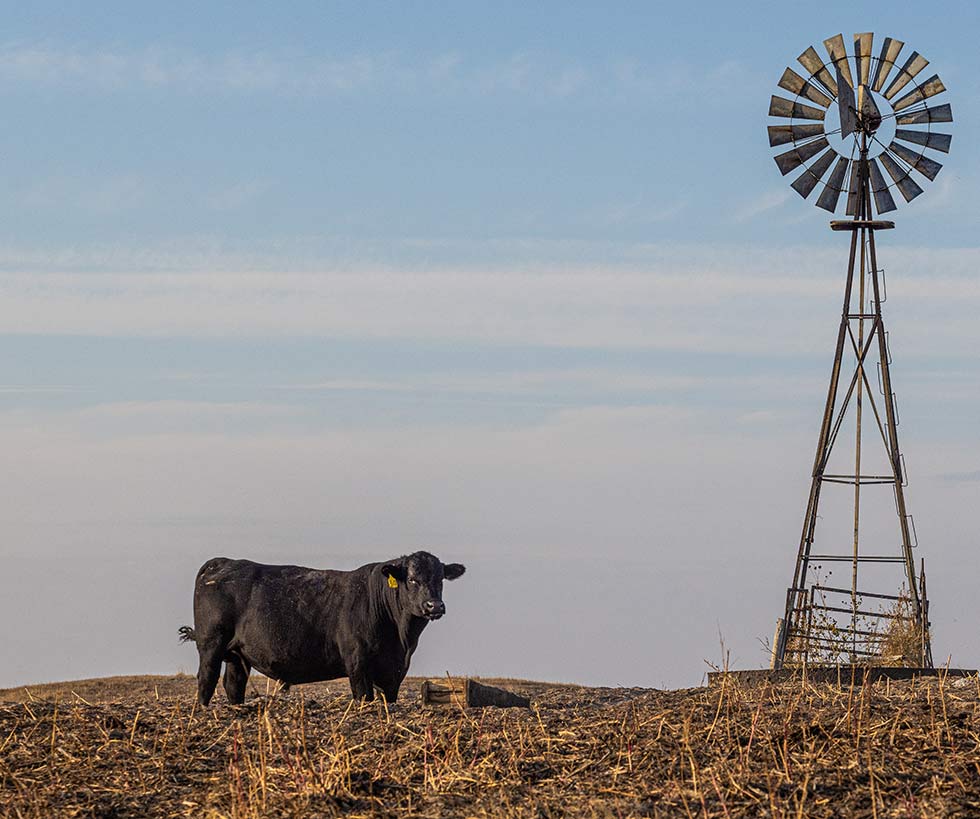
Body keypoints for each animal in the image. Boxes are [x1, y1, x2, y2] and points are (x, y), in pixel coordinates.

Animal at [180, 552, 468, 704]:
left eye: (440, 579)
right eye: (412, 579)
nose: (434, 606)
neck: (401, 639)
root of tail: (222, 562)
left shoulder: (394, 673)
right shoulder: (357, 662)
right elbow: (363, 696)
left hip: (238, 655)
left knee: (233, 684)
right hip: (211, 643)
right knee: (206, 679)